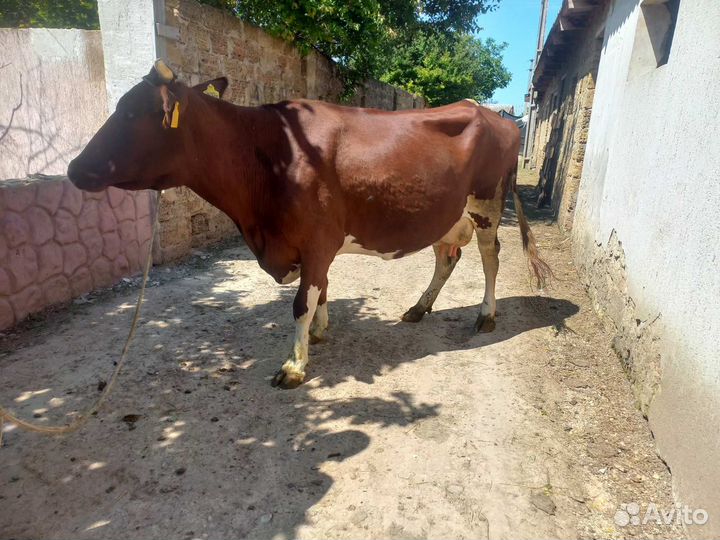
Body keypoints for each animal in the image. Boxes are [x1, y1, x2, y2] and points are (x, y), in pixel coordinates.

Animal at [68, 60, 551, 389]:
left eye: (133, 113)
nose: (74, 168)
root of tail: (495, 115)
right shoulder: (312, 244)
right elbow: (322, 288)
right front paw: (318, 333)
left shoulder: (317, 239)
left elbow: (302, 300)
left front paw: (294, 365)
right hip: (443, 214)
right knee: (447, 258)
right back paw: (418, 308)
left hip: (487, 205)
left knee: (490, 258)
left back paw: (486, 315)